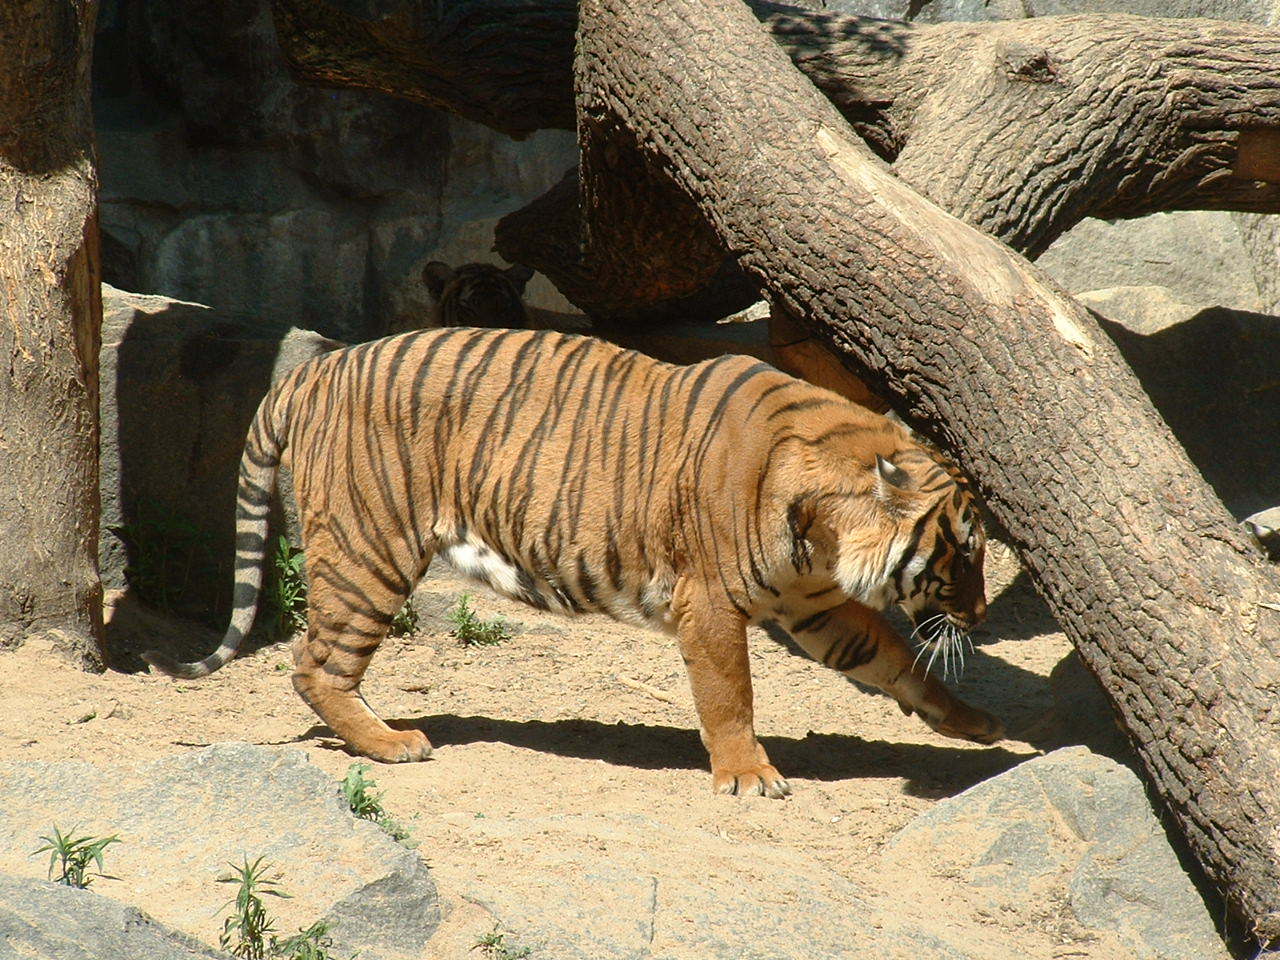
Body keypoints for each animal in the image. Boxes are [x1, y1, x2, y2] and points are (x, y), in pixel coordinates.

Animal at [144, 327, 1003, 798]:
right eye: (963, 552)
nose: (982, 612)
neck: (823, 530)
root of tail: (315, 367)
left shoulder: (814, 606)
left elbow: (893, 657)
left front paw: (970, 719)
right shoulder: (711, 602)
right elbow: (731, 694)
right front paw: (748, 775)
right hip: (369, 552)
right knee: (313, 664)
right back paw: (392, 742)